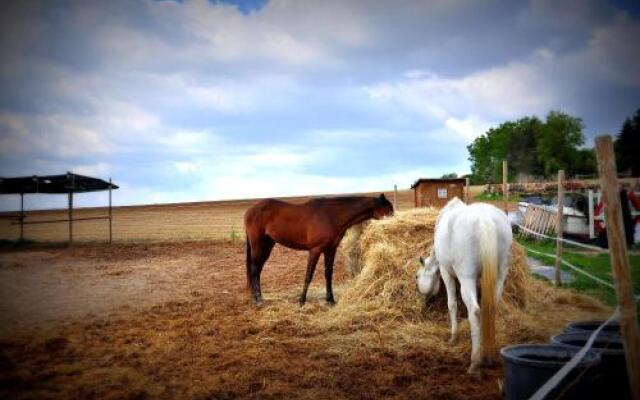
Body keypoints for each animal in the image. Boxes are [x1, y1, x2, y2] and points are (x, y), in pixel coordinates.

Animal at [245, 194, 396, 306]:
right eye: (389, 209)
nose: (396, 220)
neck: (331, 216)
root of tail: (250, 211)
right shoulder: (315, 250)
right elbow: (308, 275)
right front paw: (302, 301)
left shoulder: (330, 250)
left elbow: (328, 274)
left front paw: (330, 300)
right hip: (258, 245)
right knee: (254, 269)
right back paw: (258, 300)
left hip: (267, 245)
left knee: (258, 270)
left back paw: (258, 297)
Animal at [418, 197, 512, 372]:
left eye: (417, 276)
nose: (426, 301)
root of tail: (484, 219)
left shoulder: (446, 272)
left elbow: (452, 304)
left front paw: (453, 337)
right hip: (500, 275)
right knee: (490, 308)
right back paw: (486, 353)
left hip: (466, 278)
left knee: (474, 310)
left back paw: (475, 362)